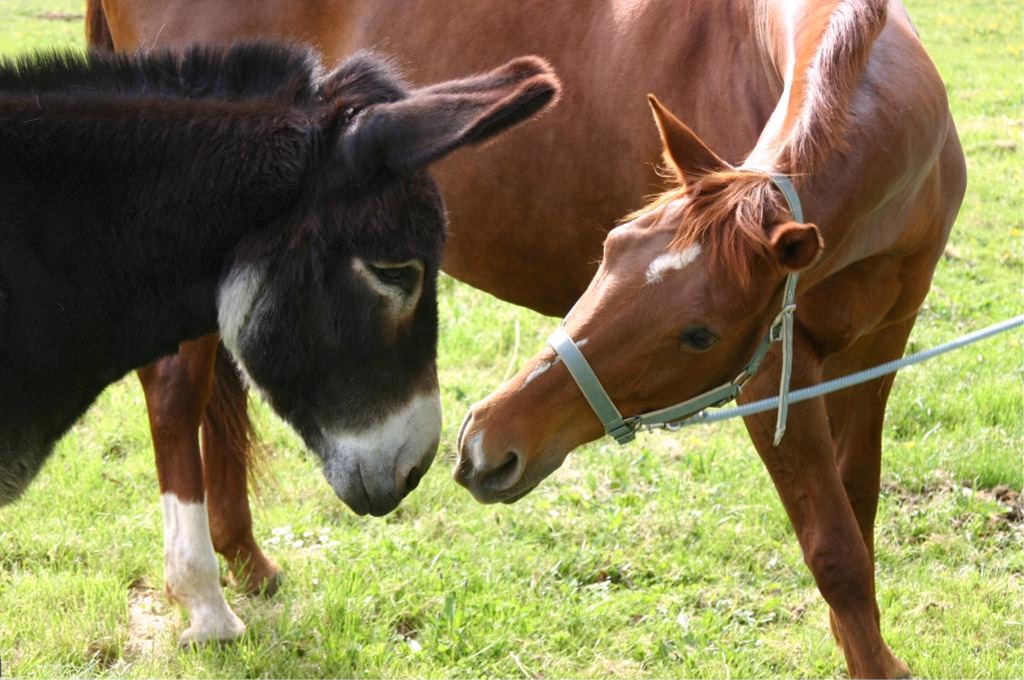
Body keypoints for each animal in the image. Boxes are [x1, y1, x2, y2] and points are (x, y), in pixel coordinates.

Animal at [86, 0, 958, 675]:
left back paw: (247, 562)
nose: (482, 442)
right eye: (611, 247)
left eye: (698, 333)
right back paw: (205, 600)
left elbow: (857, 514)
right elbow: (833, 548)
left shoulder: (877, 350)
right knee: (176, 395)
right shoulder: (774, 365)